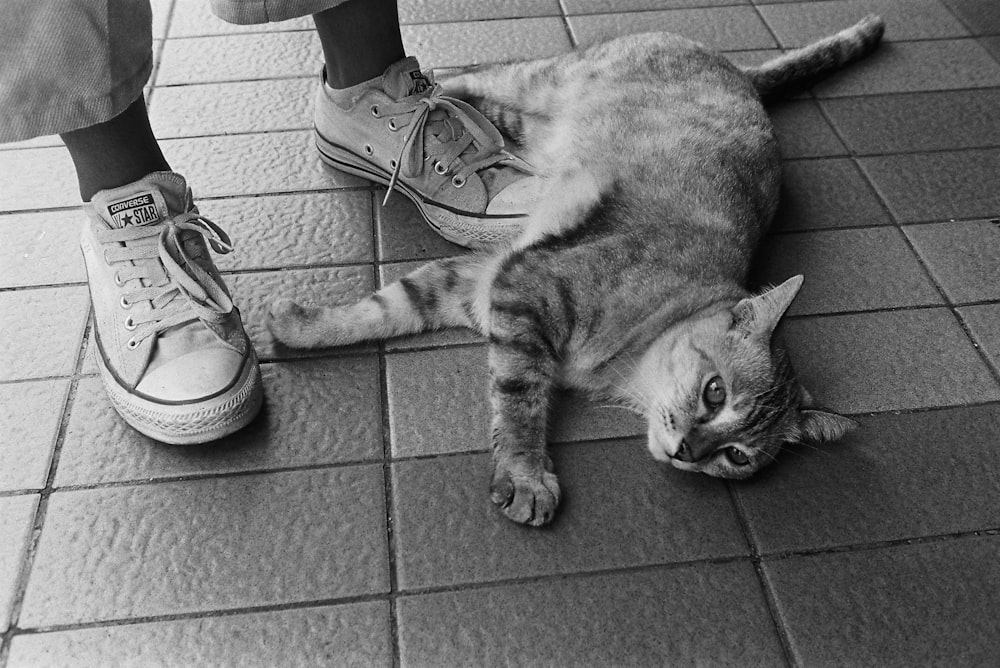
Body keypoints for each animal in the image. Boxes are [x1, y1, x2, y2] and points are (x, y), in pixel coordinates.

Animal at [266, 17, 884, 528]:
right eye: (715, 393)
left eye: (736, 456)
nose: (687, 450)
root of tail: (740, 72)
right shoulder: (525, 290)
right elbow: (520, 399)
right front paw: (525, 476)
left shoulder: (481, 282)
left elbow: (388, 306)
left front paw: (297, 326)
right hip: (542, 82)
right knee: (477, 76)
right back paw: (429, 95)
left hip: (535, 127)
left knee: (495, 111)